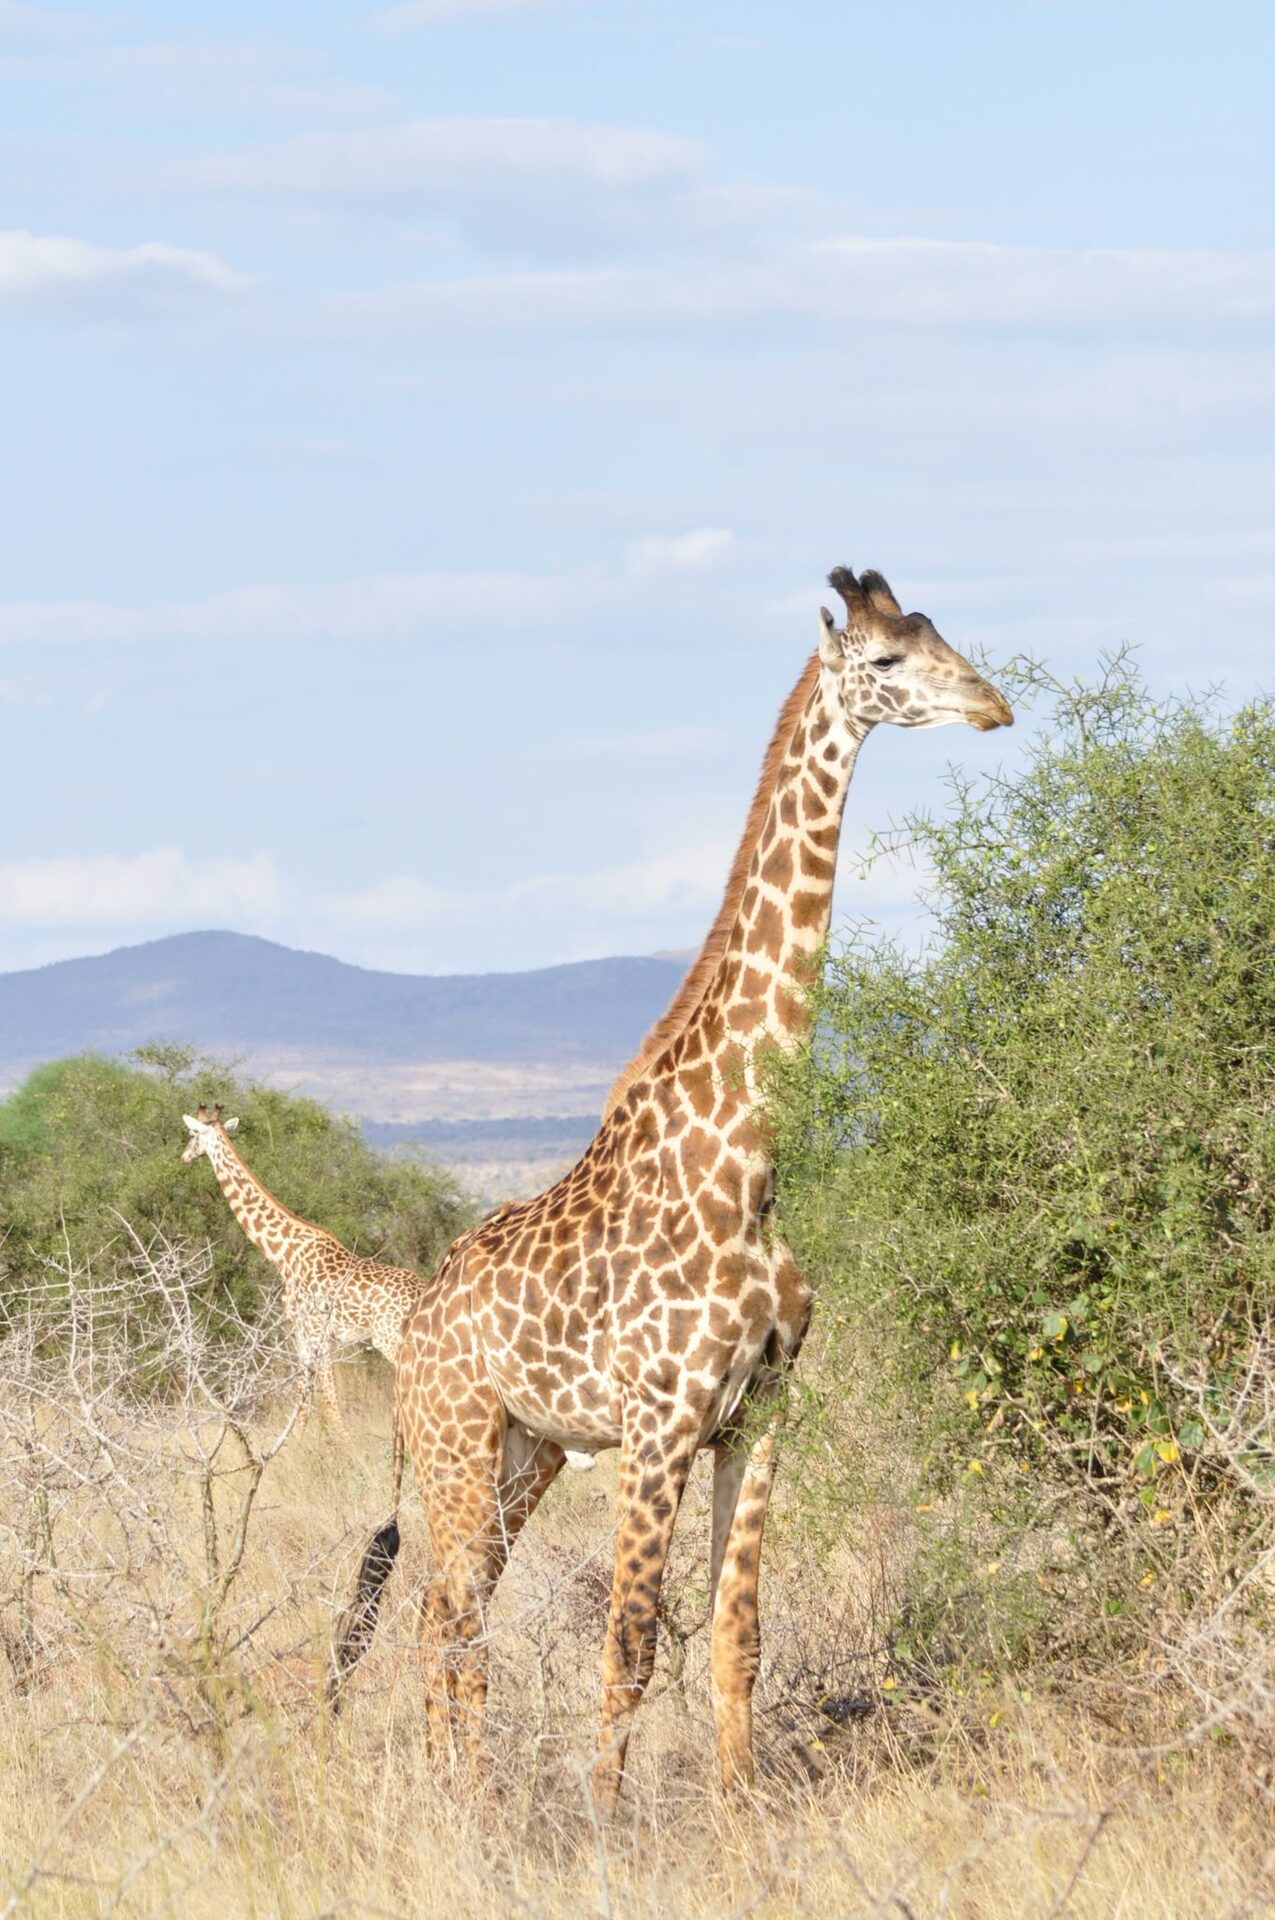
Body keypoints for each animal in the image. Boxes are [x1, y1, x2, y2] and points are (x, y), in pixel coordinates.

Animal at [180, 1103, 425, 1439]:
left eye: (193, 1134)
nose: (184, 1156)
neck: (284, 1252)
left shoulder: (311, 1331)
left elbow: (329, 1406)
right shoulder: (306, 1336)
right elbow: (305, 1404)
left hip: (390, 1340)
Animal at [332, 565, 1013, 1807]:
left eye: (939, 632)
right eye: (886, 661)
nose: (994, 705)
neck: (745, 1164)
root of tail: (416, 1320)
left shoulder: (759, 1416)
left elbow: (737, 1635)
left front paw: (743, 1820)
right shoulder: (658, 1425)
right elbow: (633, 1640)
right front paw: (607, 1820)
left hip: (523, 1451)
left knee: (448, 1609)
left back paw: (466, 1790)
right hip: (457, 1442)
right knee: (450, 1612)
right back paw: (471, 1798)